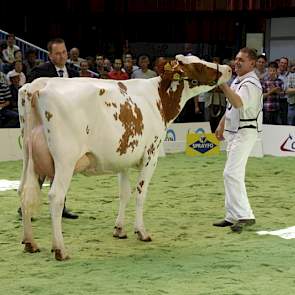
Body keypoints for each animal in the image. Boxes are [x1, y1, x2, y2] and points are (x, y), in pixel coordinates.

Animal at [17, 54, 231, 260]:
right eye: (198, 65)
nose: (228, 69)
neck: (158, 99)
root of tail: (36, 87)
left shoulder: (123, 159)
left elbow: (124, 194)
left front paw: (119, 229)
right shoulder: (151, 155)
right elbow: (140, 194)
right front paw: (141, 232)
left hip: (30, 159)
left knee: (23, 192)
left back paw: (30, 243)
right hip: (65, 161)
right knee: (55, 198)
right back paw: (60, 249)